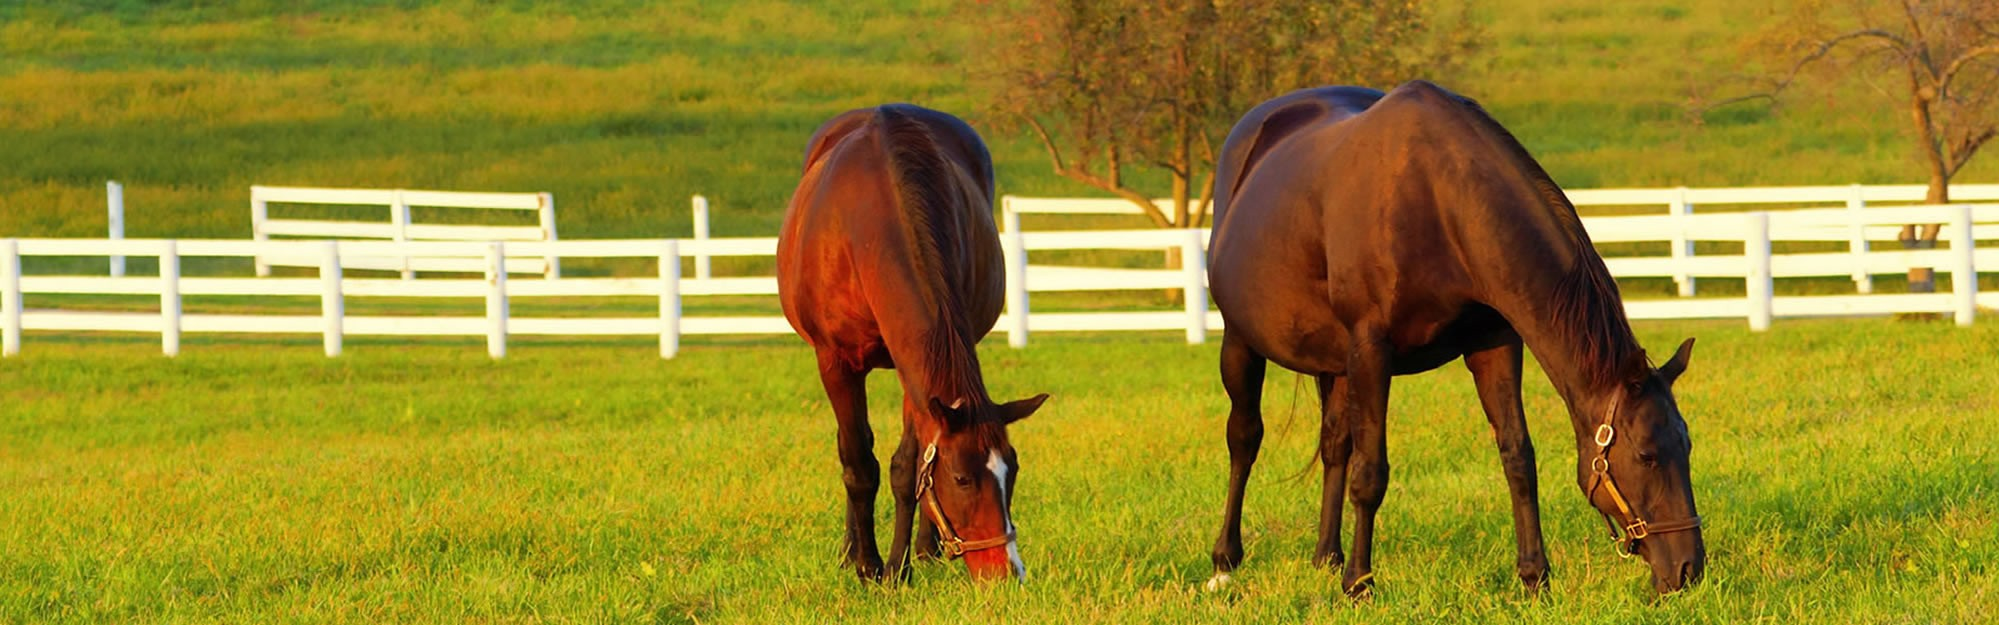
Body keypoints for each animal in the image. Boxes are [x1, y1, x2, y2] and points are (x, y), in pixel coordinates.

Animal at [771, 104, 1047, 583]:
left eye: (1012, 470)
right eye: (962, 478)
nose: (1005, 571)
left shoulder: (915, 371)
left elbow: (908, 468)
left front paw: (898, 566)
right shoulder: (835, 362)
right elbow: (858, 462)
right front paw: (867, 565)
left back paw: (925, 549)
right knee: (852, 447)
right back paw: (851, 550)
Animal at [1199, 82, 1703, 595]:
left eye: (1686, 447)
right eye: (1646, 456)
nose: (1688, 569)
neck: (1437, 202)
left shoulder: (1494, 343)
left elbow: (1518, 456)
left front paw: (1534, 577)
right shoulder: (1371, 350)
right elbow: (1370, 472)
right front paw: (1359, 583)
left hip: (1334, 363)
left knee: (1333, 445)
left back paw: (1327, 556)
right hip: (1240, 343)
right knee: (1244, 438)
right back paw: (1226, 561)